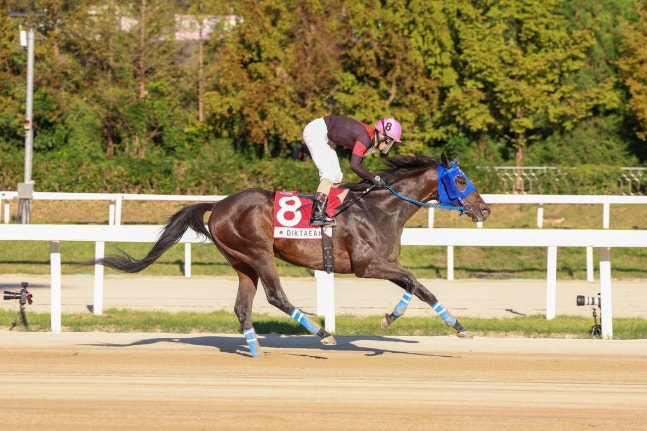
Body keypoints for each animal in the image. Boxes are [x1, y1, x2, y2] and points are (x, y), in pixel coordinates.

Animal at [95, 153, 490, 357]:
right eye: (460, 180)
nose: (484, 209)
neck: (381, 208)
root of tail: (219, 205)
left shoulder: (386, 263)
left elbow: (415, 286)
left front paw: (395, 318)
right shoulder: (366, 265)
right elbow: (416, 282)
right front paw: (455, 327)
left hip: (241, 262)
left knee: (242, 307)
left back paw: (256, 349)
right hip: (258, 253)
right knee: (276, 296)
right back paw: (321, 331)